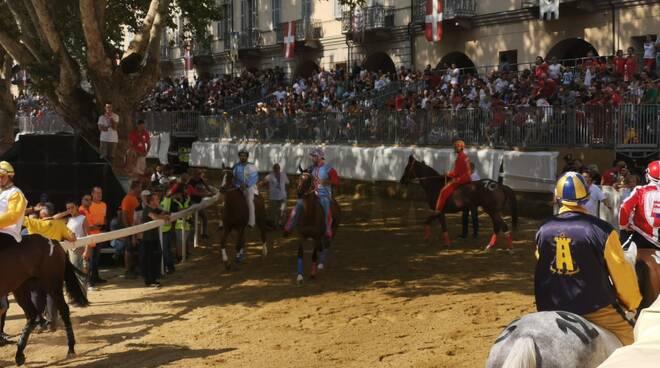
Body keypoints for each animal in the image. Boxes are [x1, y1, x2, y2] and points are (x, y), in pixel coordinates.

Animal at [0, 234, 89, 366]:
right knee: (31, 314)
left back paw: (71, 348)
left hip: (52, 284)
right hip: (20, 287)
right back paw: (19, 354)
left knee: (63, 310)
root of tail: (52, 241)